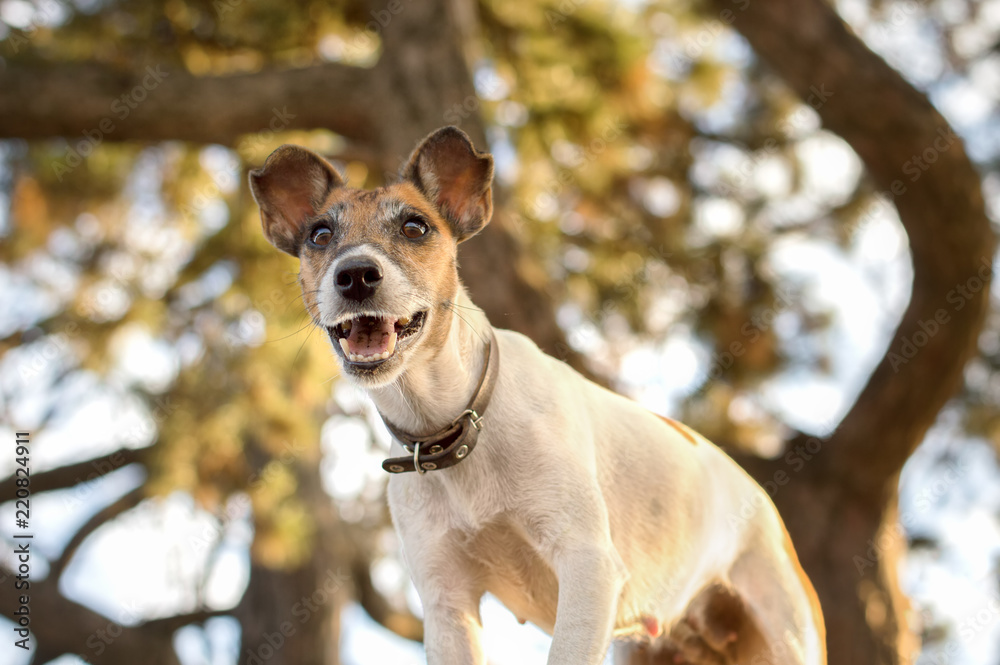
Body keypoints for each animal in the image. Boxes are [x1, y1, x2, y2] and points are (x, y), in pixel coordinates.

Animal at [252, 126, 828, 664]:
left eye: (415, 227)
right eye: (320, 234)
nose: (355, 274)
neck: (456, 423)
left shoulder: (587, 565)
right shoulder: (447, 604)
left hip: (784, 629)